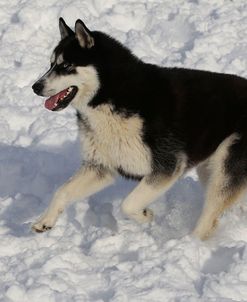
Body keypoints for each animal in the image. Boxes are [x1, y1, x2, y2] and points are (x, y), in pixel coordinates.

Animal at [31, 18, 247, 241]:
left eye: (66, 65)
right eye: (51, 64)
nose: (35, 87)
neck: (111, 96)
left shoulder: (166, 166)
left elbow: (127, 204)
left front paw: (145, 215)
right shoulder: (101, 166)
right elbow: (62, 191)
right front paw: (45, 221)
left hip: (225, 170)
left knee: (209, 216)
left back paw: (190, 242)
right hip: (210, 170)